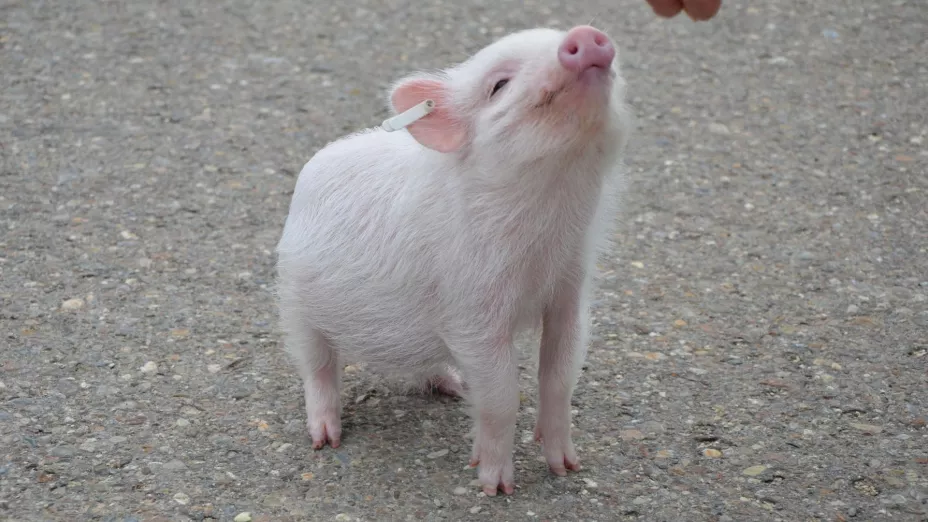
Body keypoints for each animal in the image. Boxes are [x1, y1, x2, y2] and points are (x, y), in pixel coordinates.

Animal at [275, 24, 631, 496]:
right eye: (499, 85)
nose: (585, 35)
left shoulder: (570, 289)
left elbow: (559, 375)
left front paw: (566, 468)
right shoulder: (471, 309)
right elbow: (501, 395)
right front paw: (496, 487)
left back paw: (454, 386)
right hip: (293, 297)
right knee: (316, 365)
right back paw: (325, 439)